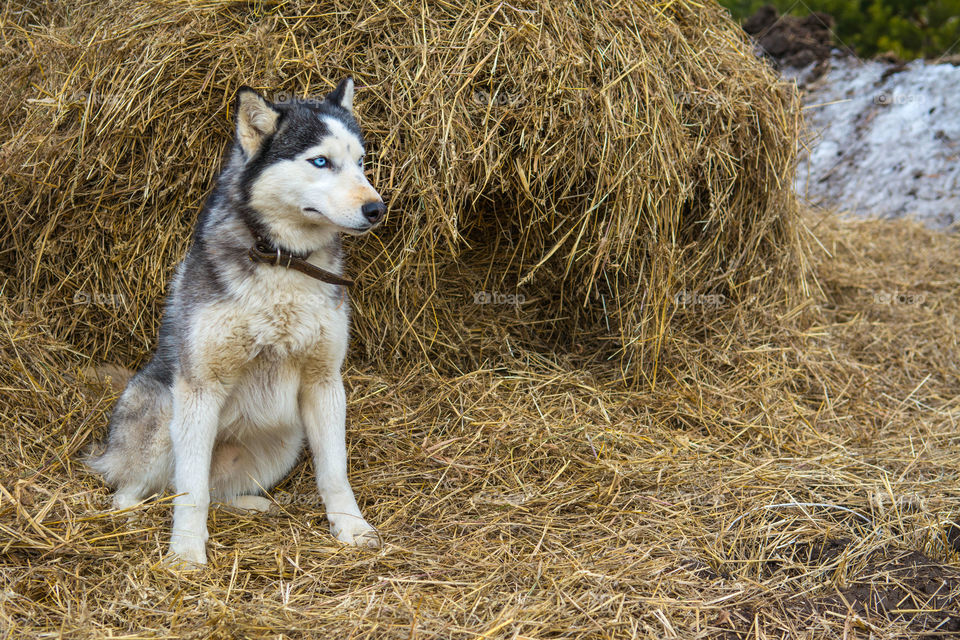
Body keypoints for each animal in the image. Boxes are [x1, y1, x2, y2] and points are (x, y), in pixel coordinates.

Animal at [87, 77, 386, 564]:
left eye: (361, 163)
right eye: (320, 161)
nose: (376, 208)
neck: (282, 261)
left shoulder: (324, 381)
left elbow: (335, 472)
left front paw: (352, 527)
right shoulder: (200, 386)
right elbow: (191, 492)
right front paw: (186, 554)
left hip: (286, 439)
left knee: (210, 490)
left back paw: (253, 504)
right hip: (167, 411)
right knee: (144, 487)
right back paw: (130, 516)